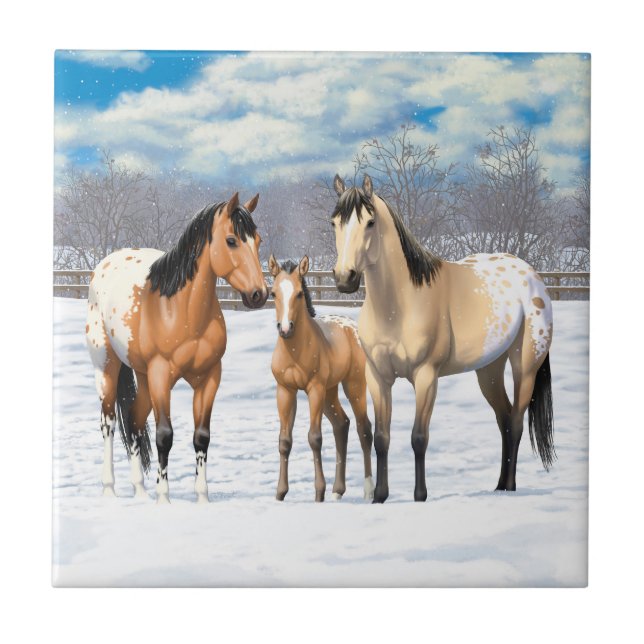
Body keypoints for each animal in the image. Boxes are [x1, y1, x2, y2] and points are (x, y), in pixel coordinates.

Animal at [86, 193, 268, 503]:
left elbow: (201, 436)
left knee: (133, 422)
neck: (180, 311)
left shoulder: (209, 377)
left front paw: (202, 497)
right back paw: (110, 489)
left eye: (257, 241)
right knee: (108, 423)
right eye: (232, 240)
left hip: (143, 376)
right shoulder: (161, 375)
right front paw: (164, 498)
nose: (259, 294)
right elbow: (164, 435)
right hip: (108, 367)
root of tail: (105, 265)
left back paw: (139, 491)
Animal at [268, 254, 374, 502]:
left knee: (364, 429)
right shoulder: (285, 390)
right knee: (341, 425)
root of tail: (351, 327)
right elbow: (284, 441)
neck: (295, 351)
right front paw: (280, 493)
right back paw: (338, 491)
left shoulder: (314, 389)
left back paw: (368, 491)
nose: (285, 329)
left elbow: (314, 438)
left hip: (353, 386)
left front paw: (319, 493)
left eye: (299, 293)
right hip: (330, 391)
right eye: (273, 293)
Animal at [330, 174, 555, 503]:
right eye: (334, 222)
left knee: (514, 422)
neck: (399, 305)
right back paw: (499, 486)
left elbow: (418, 437)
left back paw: (510, 487)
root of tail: (532, 275)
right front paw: (380, 496)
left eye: (370, 222)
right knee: (504, 420)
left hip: (525, 367)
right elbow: (382, 437)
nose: (344, 278)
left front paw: (420, 496)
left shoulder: (426, 376)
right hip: (489, 370)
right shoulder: (377, 377)